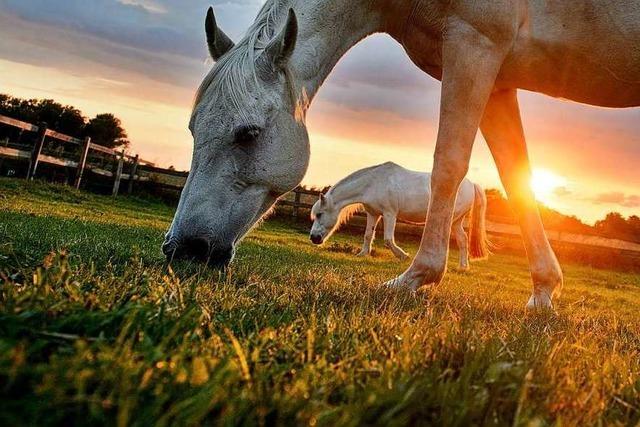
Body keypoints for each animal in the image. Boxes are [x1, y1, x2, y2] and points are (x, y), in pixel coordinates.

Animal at [308, 162, 488, 270]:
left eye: (319, 214)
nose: (314, 238)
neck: (374, 183)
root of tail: (471, 184)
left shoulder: (390, 214)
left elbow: (388, 239)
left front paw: (403, 255)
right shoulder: (373, 213)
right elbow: (368, 235)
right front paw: (362, 254)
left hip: (451, 220)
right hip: (456, 222)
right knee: (463, 240)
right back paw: (463, 266)